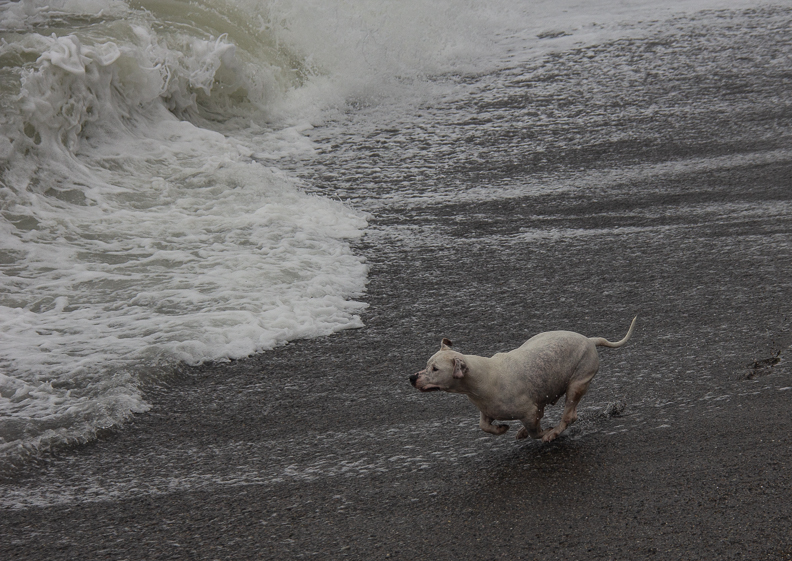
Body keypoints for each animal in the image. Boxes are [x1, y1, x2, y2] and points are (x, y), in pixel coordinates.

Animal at [409, 317, 637, 442]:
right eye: (427, 364)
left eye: (435, 369)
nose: (411, 377)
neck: (482, 377)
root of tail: (590, 340)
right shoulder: (487, 411)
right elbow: (484, 426)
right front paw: (501, 429)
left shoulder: (529, 413)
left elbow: (536, 432)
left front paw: (545, 433)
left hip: (577, 384)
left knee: (569, 416)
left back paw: (553, 432)